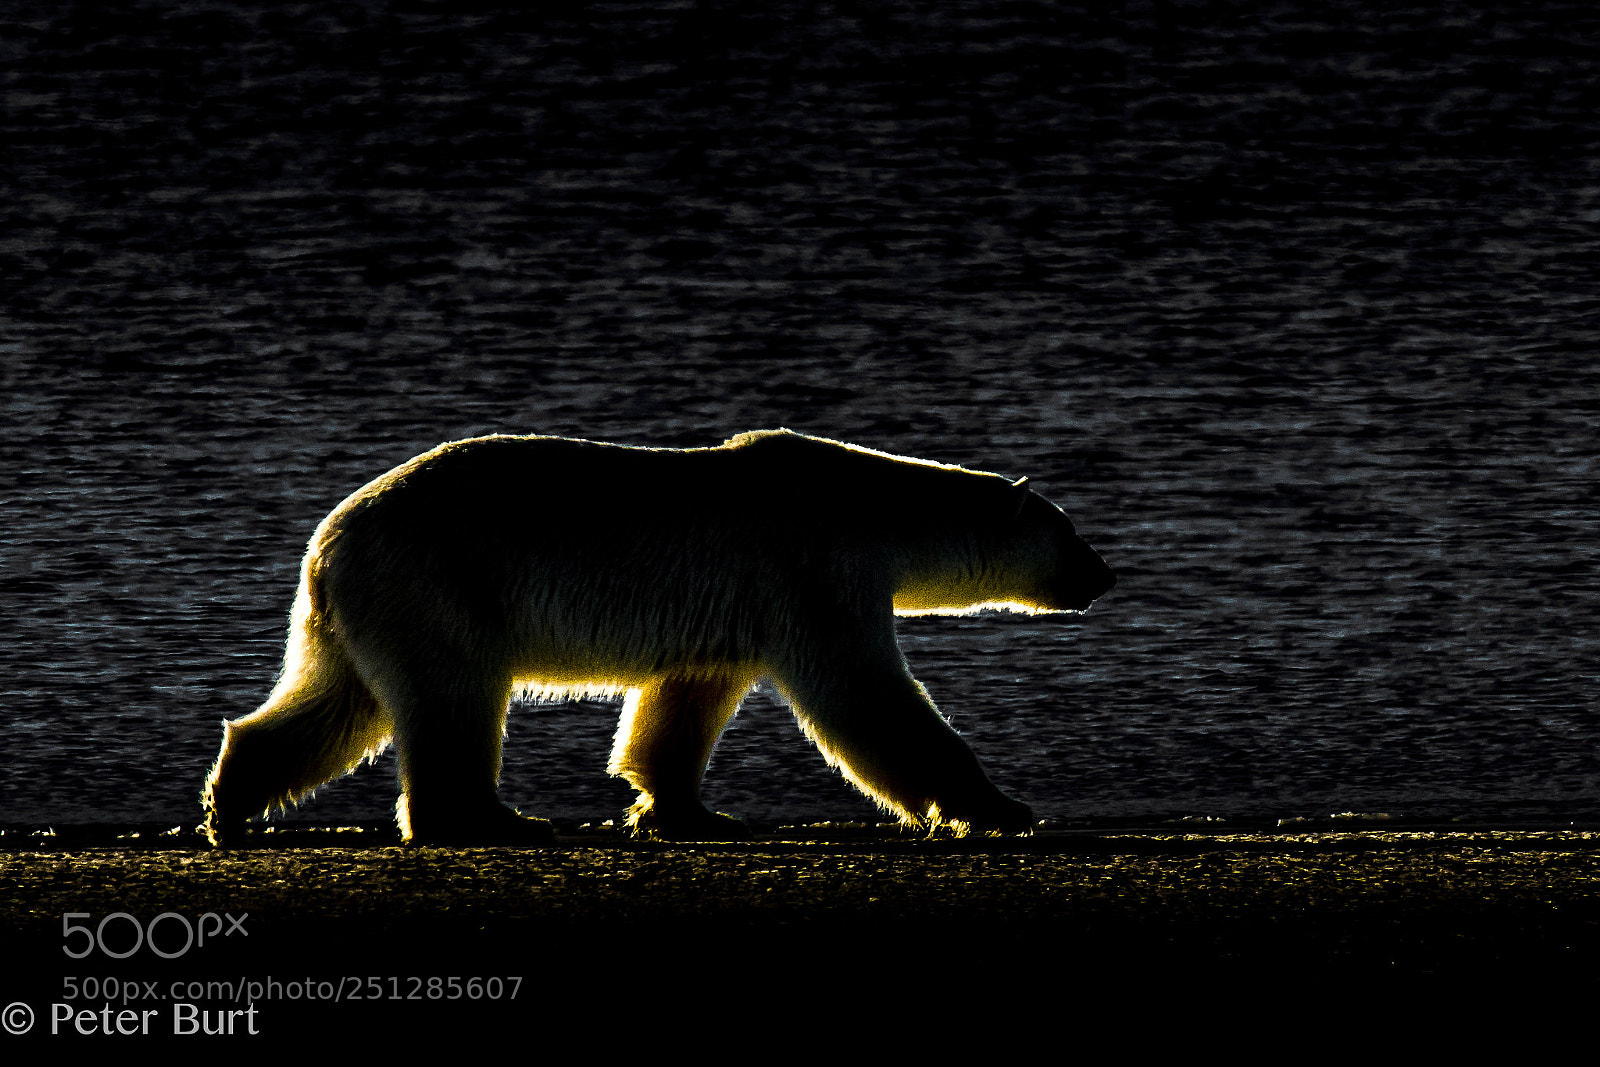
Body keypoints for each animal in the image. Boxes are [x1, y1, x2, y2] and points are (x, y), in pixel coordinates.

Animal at [201, 429, 1115, 846]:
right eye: (1071, 532)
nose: (1105, 573)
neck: (872, 509)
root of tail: (326, 542)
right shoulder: (813, 570)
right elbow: (868, 698)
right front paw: (1001, 806)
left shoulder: (733, 608)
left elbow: (683, 703)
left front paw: (684, 808)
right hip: (440, 584)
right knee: (451, 698)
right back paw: (494, 817)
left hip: (361, 613)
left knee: (334, 705)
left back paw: (231, 802)